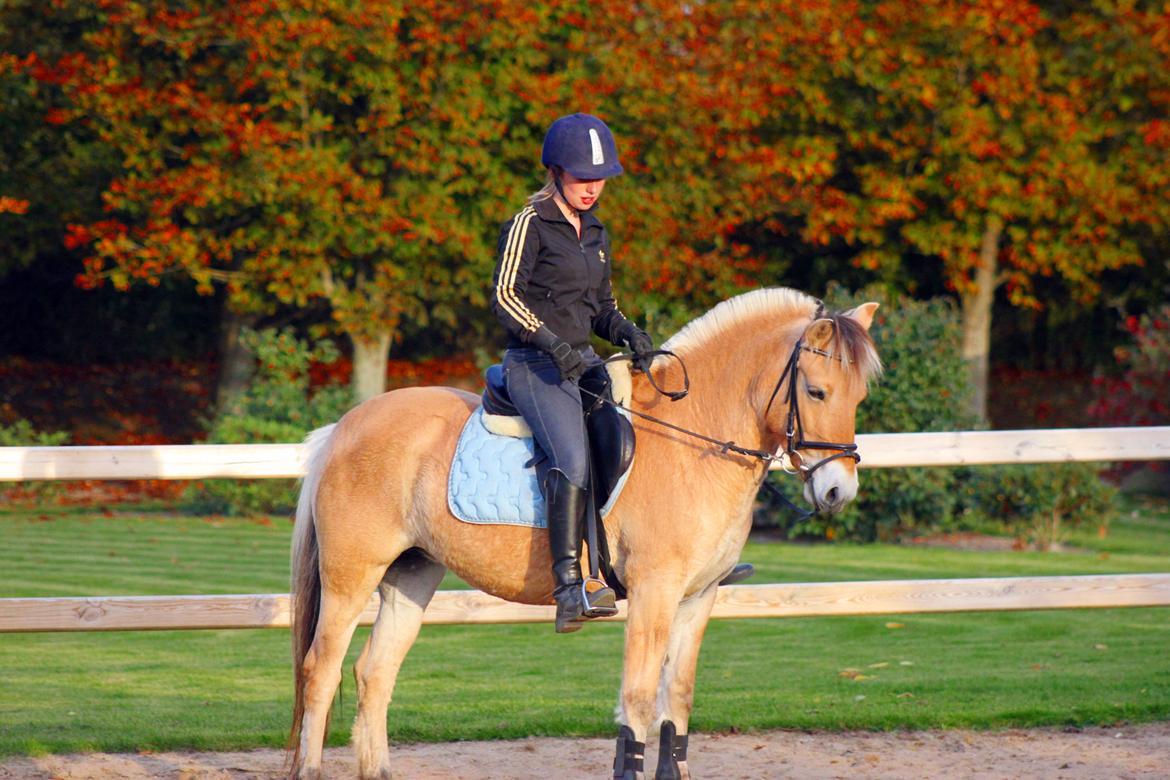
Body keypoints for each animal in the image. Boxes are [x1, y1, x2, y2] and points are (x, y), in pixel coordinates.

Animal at [287, 288, 879, 780]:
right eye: (817, 392)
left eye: (858, 397)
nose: (837, 491)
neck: (694, 440)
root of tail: (345, 426)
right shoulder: (654, 594)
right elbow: (637, 702)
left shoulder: (698, 598)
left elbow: (677, 702)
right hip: (350, 577)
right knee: (321, 671)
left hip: (411, 575)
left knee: (374, 673)